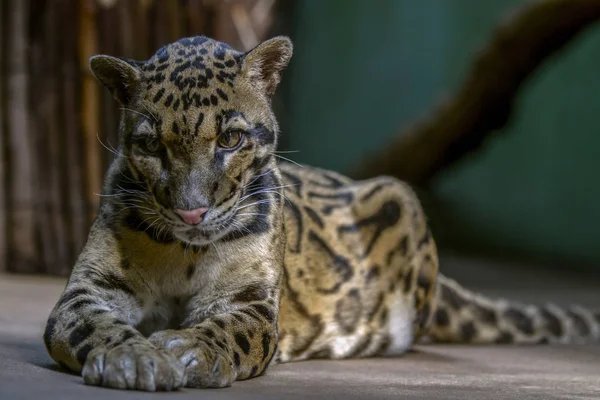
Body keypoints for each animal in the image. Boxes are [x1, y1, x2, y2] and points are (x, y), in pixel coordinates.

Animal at [43, 34, 600, 390]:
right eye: (151, 146)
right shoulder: (91, 288)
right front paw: (132, 356)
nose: (191, 214)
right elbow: (91, 324)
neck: (184, 254)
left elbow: (227, 329)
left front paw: (185, 349)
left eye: (230, 139)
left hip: (399, 198)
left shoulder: (249, 302)